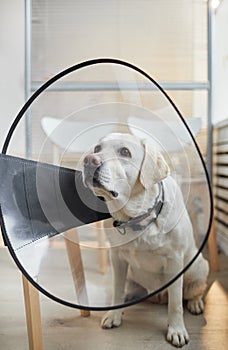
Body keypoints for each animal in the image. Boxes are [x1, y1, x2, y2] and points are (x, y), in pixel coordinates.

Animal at [82, 133, 208, 348]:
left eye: (125, 152)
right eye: (97, 148)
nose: (89, 160)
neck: (138, 216)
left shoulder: (175, 260)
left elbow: (176, 302)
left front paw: (176, 330)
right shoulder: (117, 258)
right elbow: (117, 289)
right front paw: (114, 315)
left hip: (199, 265)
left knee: (193, 291)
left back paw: (195, 303)